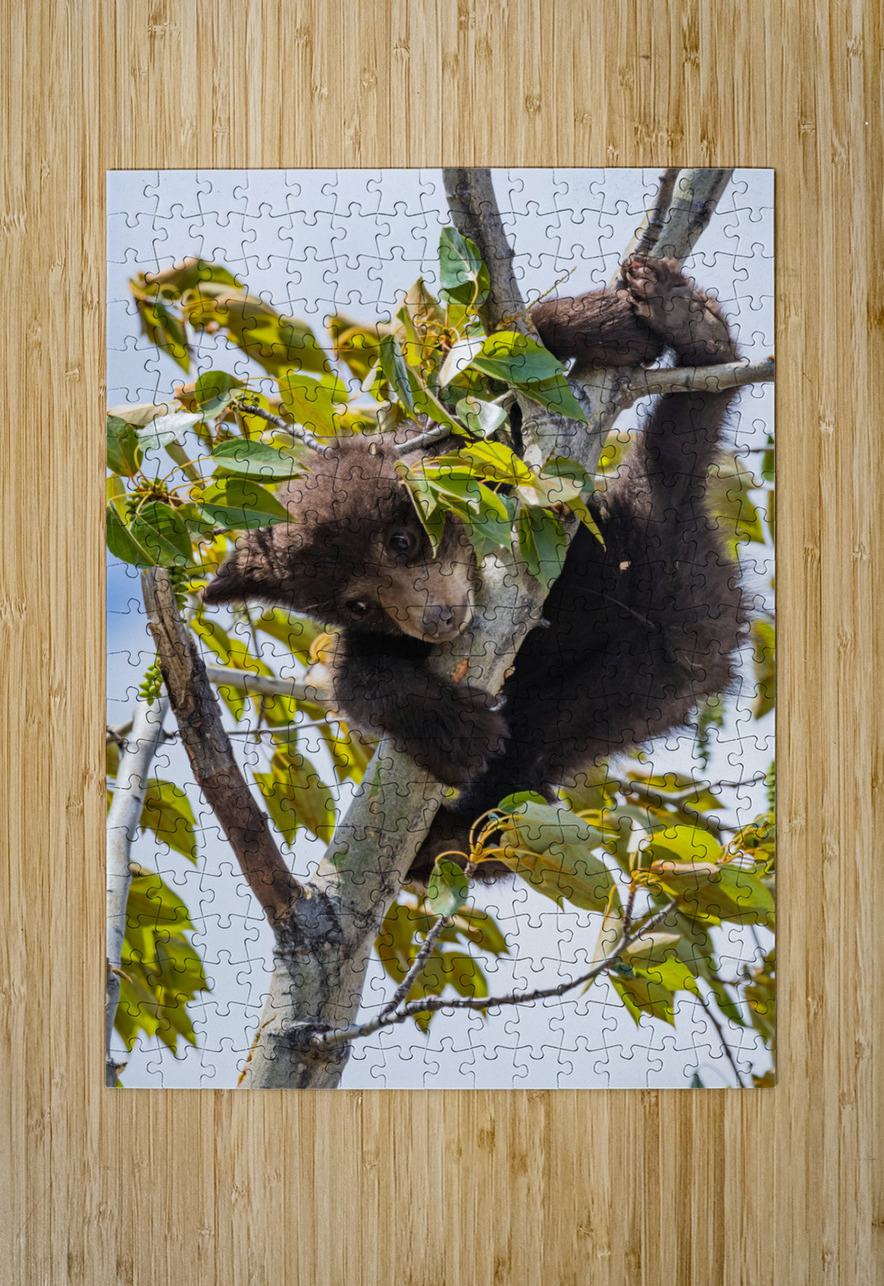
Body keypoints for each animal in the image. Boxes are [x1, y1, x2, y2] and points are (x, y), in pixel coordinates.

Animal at [203, 256, 746, 881]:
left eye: (402, 540)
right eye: (356, 603)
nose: (436, 619)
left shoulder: (492, 452)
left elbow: (491, 387)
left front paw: (601, 324)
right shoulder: (383, 636)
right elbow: (352, 678)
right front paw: (449, 728)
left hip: (650, 570)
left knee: (674, 452)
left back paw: (692, 327)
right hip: (641, 678)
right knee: (539, 743)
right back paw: (451, 838)